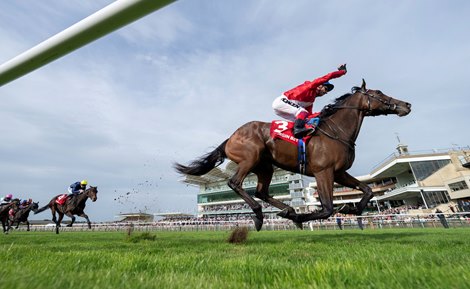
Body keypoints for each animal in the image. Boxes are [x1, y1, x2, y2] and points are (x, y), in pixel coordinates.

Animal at [175, 79, 412, 230]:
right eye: (378, 93)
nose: (406, 104)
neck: (337, 131)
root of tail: (230, 138)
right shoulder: (323, 171)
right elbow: (327, 208)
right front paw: (301, 216)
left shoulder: (339, 172)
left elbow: (368, 190)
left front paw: (351, 208)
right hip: (250, 157)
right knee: (235, 183)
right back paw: (261, 215)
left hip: (265, 167)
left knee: (261, 191)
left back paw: (286, 210)